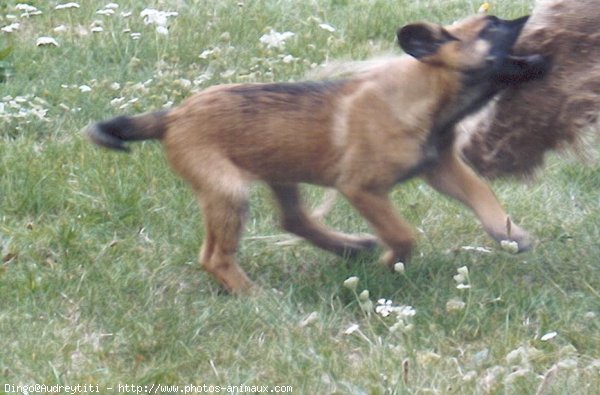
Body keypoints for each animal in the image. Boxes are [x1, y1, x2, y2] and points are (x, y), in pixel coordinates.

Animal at [88, 13, 548, 294]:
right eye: (492, 26)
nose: (530, 17)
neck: (428, 98)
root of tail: (172, 115)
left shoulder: (441, 166)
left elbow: (482, 194)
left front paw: (508, 232)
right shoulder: (362, 188)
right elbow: (403, 234)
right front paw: (391, 264)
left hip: (278, 171)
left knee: (293, 219)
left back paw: (348, 247)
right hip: (227, 190)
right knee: (214, 257)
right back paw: (254, 295)